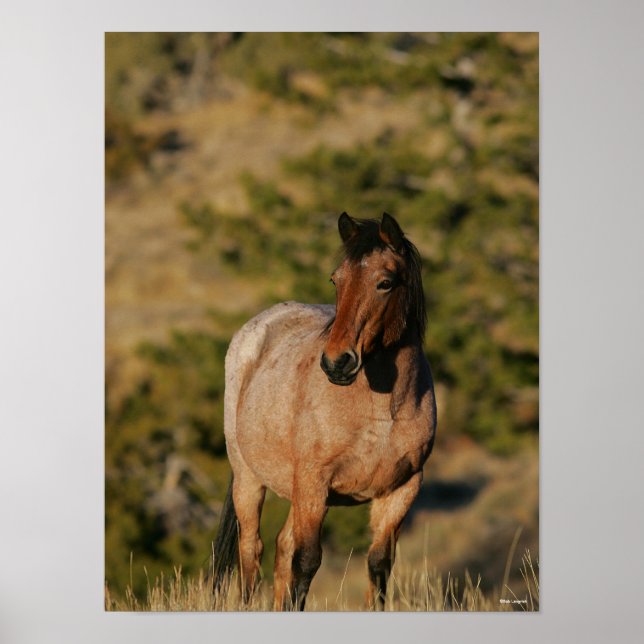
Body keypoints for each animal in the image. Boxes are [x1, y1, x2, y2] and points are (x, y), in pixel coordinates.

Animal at [211, 211, 437, 610]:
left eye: (385, 283)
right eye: (336, 279)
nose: (336, 363)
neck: (382, 413)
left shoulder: (402, 489)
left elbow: (379, 566)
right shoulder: (315, 482)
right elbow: (306, 562)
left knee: (281, 548)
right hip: (249, 478)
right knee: (252, 551)